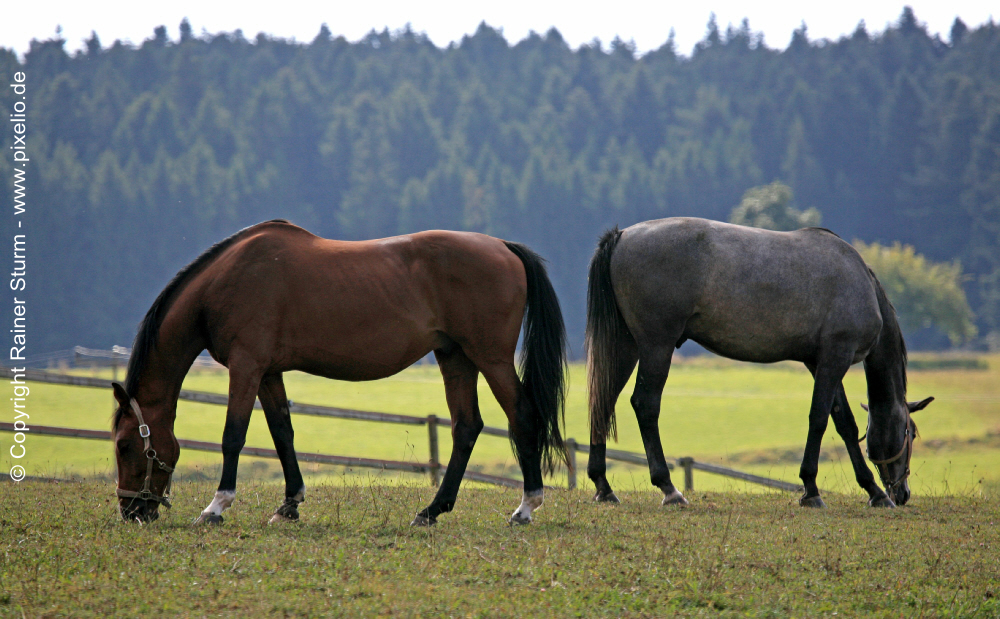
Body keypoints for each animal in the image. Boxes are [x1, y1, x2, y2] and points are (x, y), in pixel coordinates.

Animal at [113, 220, 568, 524]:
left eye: (123, 445)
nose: (131, 510)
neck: (225, 282)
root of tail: (503, 247)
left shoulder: (246, 367)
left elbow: (233, 436)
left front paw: (216, 506)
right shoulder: (268, 373)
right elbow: (282, 432)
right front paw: (289, 504)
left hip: (490, 358)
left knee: (521, 416)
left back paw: (526, 507)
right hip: (455, 358)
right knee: (466, 427)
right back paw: (432, 510)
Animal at [584, 218, 932, 508]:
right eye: (911, 433)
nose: (902, 493)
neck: (860, 283)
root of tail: (622, 236)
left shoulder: (820, 362)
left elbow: (844, 423)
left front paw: (872, 491)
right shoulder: (837, 358)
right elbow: (819, 419)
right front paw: (812, 489)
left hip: (628, 346)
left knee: (603, 402)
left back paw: (603, 487)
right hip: (657, 347)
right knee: (645, 404)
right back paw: (669, 488)